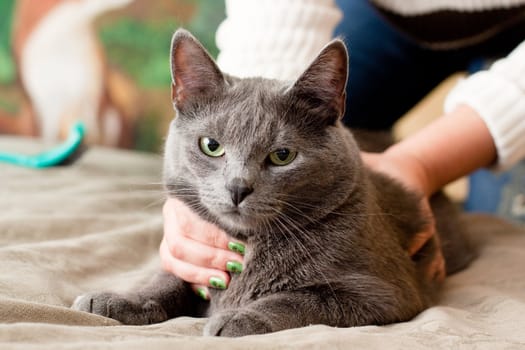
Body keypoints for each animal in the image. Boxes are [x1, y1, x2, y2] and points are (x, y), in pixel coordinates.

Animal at [71, 28, 472, 336]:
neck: (248, 245)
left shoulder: (385, 291)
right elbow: (169, 277)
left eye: (282, 155)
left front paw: (238, 318)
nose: (237, 187)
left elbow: (300, 298)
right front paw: (115, 299)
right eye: (211, 146)